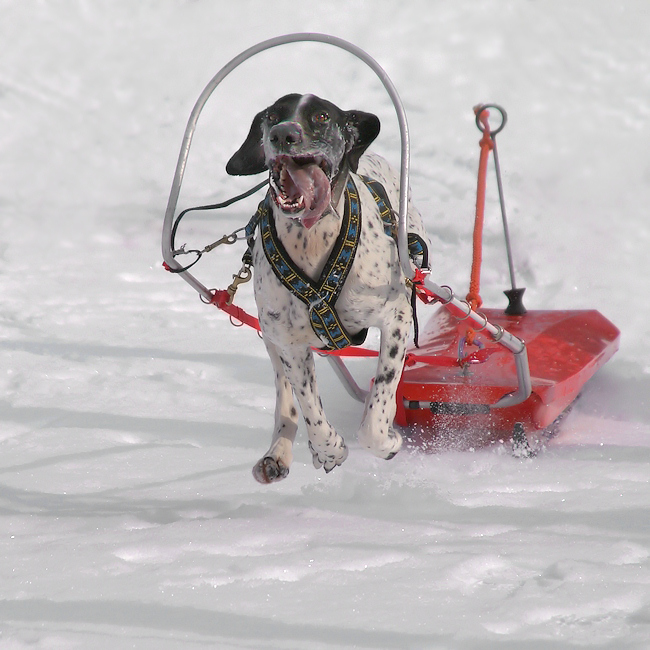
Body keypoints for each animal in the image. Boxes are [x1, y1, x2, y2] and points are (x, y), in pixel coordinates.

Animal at [225, 93, 428, 484]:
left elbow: (376, 413)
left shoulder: (395, 318)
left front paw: (388, 440)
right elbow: (309, 408)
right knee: (286, 401)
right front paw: (329, 449)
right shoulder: (290, 344)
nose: (283, 134)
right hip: (270, 335)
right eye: (272, 115)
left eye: (321, 116)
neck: (313, 240)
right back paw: (278, 452)